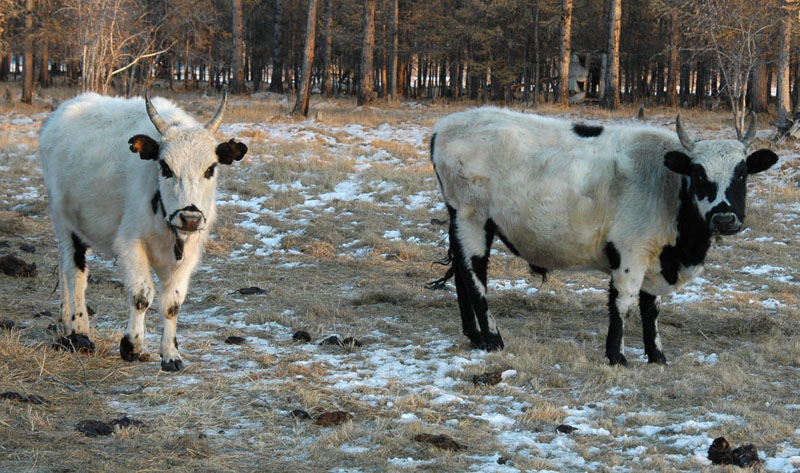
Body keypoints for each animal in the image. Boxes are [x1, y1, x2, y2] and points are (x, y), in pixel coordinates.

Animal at [39, 92, 247, 370]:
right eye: (166, 167)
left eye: (210, 169)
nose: (190, 218)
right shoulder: (130, 244)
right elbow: (141, 295)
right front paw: (132, 345)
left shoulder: (189, 254)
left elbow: (172, 303)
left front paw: (170, 353)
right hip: (64, 223)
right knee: (75, 273)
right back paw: (80, 328)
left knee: (63, 266)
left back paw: (65, 318)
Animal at [432, 108, 776, 366]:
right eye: (699, 174)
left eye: (742, 173)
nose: (724, 218)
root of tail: (445, 127)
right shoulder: (630, 254)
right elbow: (623, 304)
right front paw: (617, 357)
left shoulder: (654, 257)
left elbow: (651, 309)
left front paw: (657, 357)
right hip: (472, 218)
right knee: (475, 275)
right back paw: (492, 339)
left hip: (462, 220)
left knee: (461, 273)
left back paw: (475, 336)